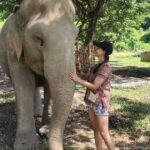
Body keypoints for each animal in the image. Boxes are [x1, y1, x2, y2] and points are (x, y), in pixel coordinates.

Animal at [0, 0, 77, 149]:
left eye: (75, 37)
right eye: (39, 40)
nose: (45, 135)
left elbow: (49, 87)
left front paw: (45, 129)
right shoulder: (13, 50)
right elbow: (24, 84)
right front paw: (25, 145)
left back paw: (37, 115)